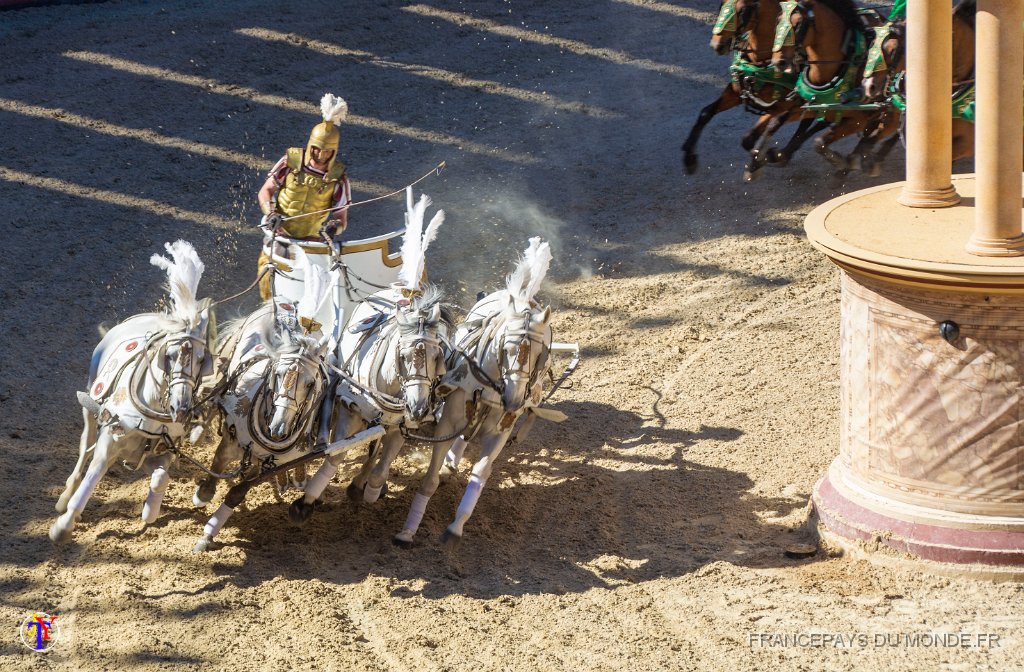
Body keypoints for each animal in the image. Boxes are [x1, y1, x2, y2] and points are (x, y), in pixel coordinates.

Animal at [51, 238, 214, 544]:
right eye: (169, 355)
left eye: (201, 359)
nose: (181, 408)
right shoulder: (109, 441)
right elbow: (94, 473)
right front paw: (63, 525)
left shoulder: (161, 451)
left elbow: (161, 478)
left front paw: (149, 512)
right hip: (90, 404)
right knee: (84, 450)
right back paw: (65, 496)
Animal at [192, 250, 331, 553]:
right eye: (277, 373)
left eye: (310, 383)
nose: (278, 428)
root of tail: (286, 304)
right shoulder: (232, 438)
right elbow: (218, 464)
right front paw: (203, 494)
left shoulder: (275, 462)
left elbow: (238, 491)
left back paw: (297, 477)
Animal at [391, 238, 557, 549]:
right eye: (506, 346)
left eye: (541, 353)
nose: (514, 399)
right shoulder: (448, 420)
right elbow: (430, 478)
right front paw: (408, 530)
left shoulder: (501, 431)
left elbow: (479, 475)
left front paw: (456, 526)